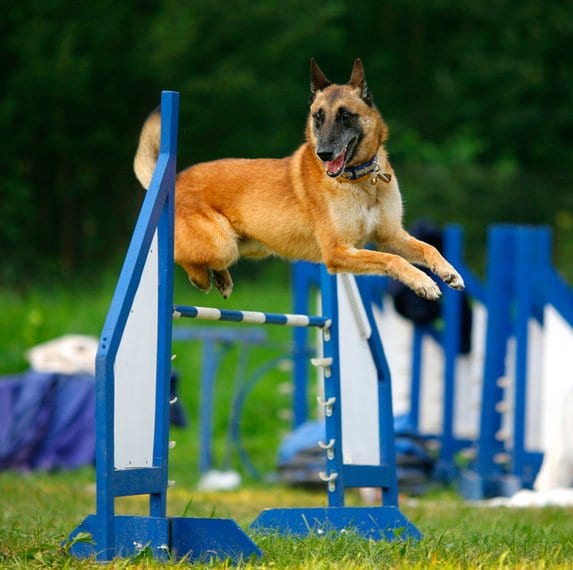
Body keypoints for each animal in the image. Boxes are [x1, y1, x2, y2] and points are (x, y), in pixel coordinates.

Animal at [133, 58, 464, 300]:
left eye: (345, 116)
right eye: (318, 116)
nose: (324, 153)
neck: (358, 181)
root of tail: (175, 178)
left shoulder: (391, 236)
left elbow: (427, 248)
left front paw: (448, 272)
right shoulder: (338, 252)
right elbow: (392, 260)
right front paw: (423, 283)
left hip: (247, 246)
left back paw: (222, 279)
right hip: (221, 242)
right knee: (181, 257)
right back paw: (203, 279)